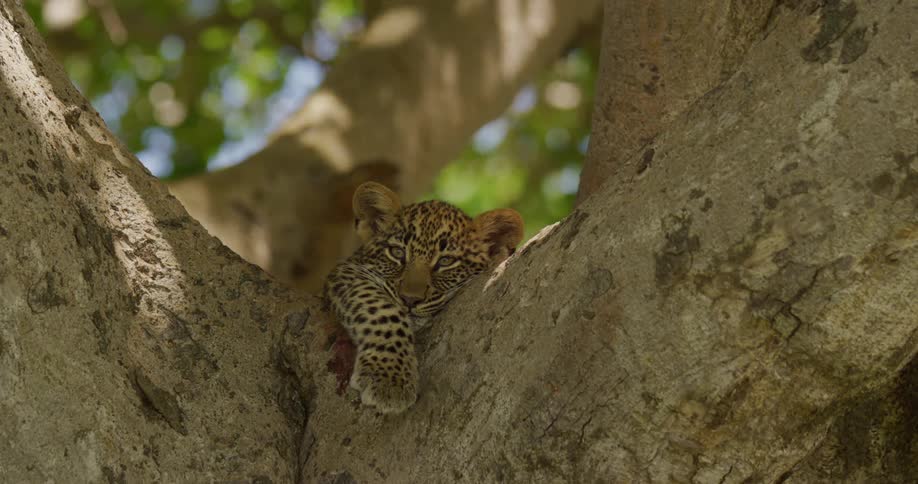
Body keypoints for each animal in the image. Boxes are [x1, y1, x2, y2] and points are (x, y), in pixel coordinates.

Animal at [323, 181, 524, 414]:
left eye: (445, 261)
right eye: (397, 253)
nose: (410, 299)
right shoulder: (347, 271)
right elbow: (383, 313)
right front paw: (389, 378)